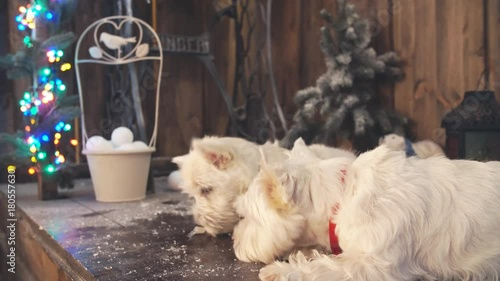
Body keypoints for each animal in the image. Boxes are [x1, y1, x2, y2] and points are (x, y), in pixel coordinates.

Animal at [233, 142, 500, 280]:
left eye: (245, 216)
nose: (235, 242)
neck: (343, 196)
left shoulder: (376, 265)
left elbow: (324, 266)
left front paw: (279, 271)